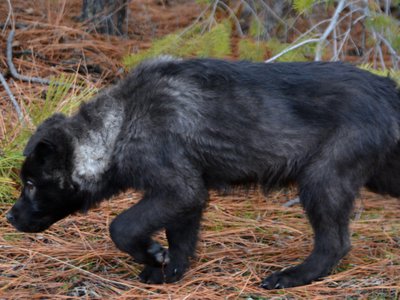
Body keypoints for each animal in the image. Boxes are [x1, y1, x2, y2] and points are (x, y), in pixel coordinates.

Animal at [6, 56, 400, 288]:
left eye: (31, 184)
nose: (9, 218)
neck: (122, 122)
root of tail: (387, 90)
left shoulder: (178, 189)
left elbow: (122, 226)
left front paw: (152, 254)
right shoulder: (189, 195)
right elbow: (181, 239)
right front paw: (168, 272)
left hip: (322, 181)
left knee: (335, 244)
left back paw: (292, 277)